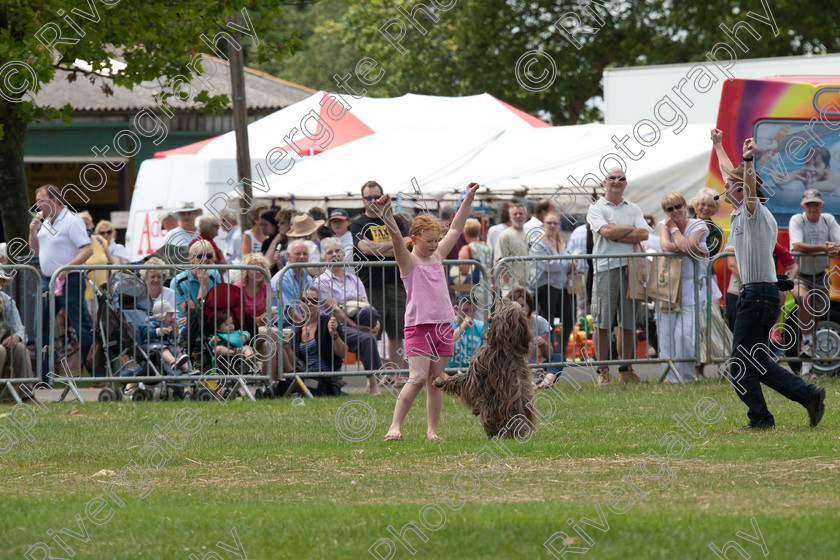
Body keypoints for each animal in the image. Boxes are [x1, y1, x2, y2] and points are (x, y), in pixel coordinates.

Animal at [434, 300, 540, 440]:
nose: (503, 300)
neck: (508, 346)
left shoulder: (475, 374)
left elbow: (459, 381)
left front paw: (440, 380)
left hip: (489, 410)